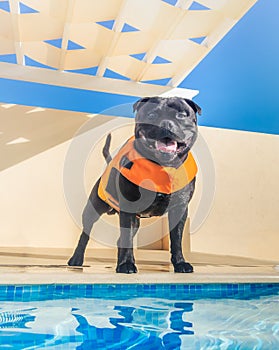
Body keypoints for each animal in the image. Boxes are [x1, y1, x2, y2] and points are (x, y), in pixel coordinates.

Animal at [69, 95, 202, 274]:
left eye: (181, 115)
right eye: (152, 115)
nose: (166, 124)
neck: (162, 166)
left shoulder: (179, 209)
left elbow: (176, 239)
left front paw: (180, 263)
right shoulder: (129, 208)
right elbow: (127, 240)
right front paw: (126, 264)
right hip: (93, 208)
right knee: (86, 234)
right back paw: (76, 259)